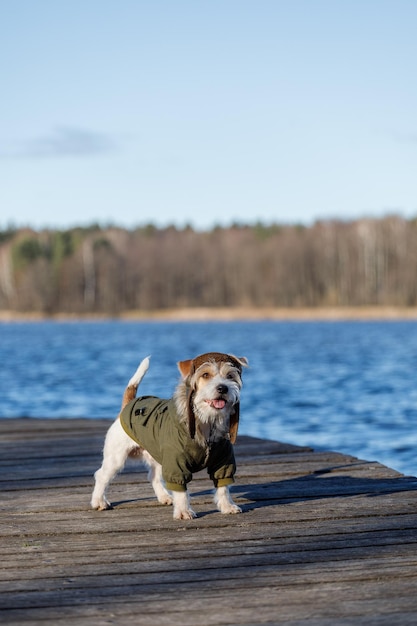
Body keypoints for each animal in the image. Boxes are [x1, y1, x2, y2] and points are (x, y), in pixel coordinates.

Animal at [91, 352, 247, 516]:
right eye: (205, 375)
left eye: (230, 376)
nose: (223, 388)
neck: (207, 422)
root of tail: (127, 405)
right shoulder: (176, 465)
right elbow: (181, 491)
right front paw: (184, 511)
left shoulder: (223, 462)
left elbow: (223, 488)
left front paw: (227, 506)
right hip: (116, 459)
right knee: (101, 476)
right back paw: (99, 502)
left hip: (159, 458)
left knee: (153, 477)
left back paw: (165, 497)